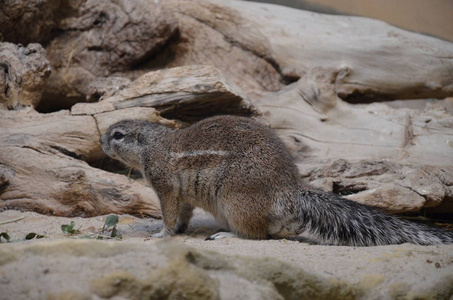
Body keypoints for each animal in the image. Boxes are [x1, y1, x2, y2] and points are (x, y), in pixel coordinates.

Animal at [100, 115, 452, 246]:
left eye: (117, 134)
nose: (101, 142)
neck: (154, 144)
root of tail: (291, 191)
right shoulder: (182, 195)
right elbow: (183, 214)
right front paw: (179, 230)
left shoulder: (166, 187)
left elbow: (169, 214)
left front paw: (161, 233)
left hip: (234, 200)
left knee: (256, 234)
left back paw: (226, 235)